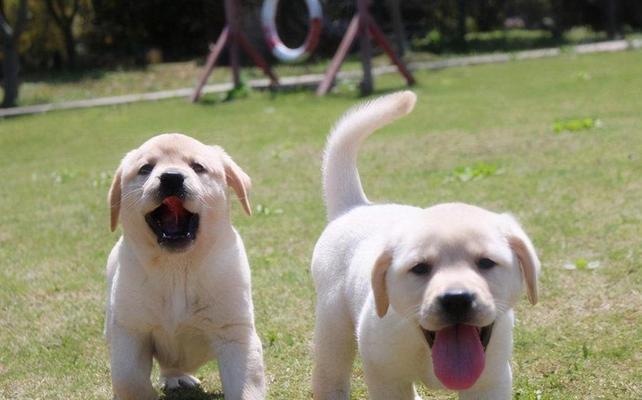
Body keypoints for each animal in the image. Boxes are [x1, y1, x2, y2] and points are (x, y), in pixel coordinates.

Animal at [105, 134, 264, 400]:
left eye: (197, 167)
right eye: (145, 169)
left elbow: (245, 390)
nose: (171, 177)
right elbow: (129, 381)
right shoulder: (130, 332)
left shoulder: (235, 335)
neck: (177, 268)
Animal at [310, 92, 540, 398]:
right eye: (419, 268)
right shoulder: (387, 379)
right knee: (330, 374)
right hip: (333, 327)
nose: (456, 299)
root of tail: (355, 205)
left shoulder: (490, 380)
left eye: (486, 263)